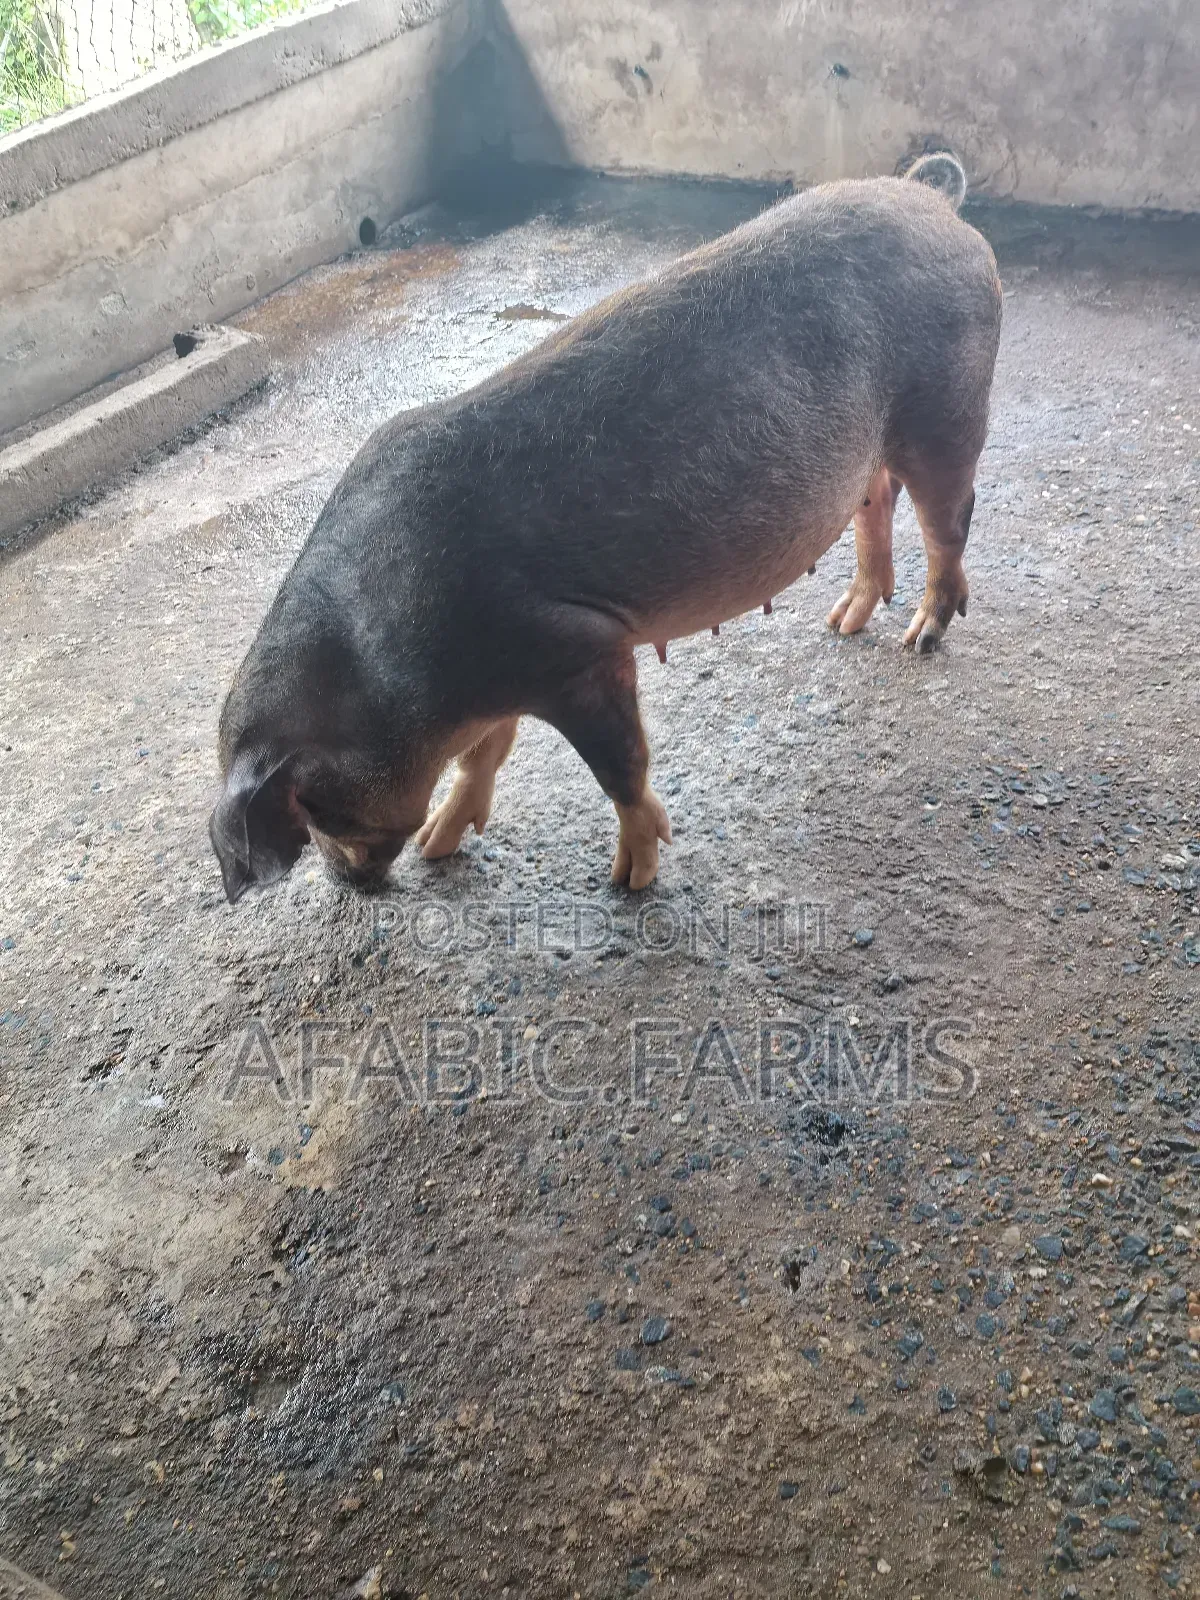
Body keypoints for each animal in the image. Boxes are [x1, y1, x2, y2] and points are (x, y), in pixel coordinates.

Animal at [210, 152, 1002, 903]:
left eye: (317, 809)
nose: (351, 885)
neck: (382, 674)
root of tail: (930, 198)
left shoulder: (581, 648)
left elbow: (619, 765)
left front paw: (629, 881)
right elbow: (484, 753)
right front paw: (439, 845)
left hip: (949, 405)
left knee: (949, 521)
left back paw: (920, 638)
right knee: (877, 499)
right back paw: (844, 621)